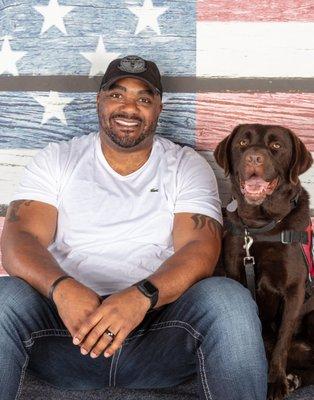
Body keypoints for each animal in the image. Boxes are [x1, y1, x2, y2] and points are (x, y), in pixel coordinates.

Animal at [215, 122, 312, 400]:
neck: (260, 225)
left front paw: (276, 381)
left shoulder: (294, 291)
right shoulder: (236, 273)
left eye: (276, 145)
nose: (254, 158)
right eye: (242, 143)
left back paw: (291, 379)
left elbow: (282, 340)